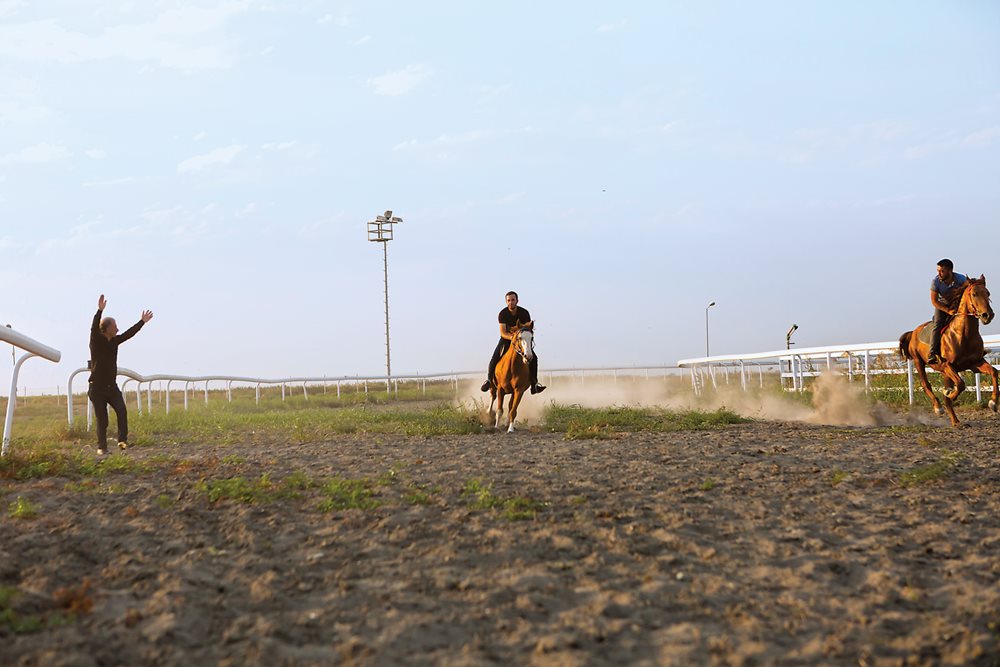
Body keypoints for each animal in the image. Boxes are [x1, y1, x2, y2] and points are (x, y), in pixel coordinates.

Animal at [904, 276, 996, 428]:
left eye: (988, 293)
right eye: (974, 294)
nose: (987, 315)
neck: (962, 335)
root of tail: (914, 332)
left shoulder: (975, 363)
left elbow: (994, 372)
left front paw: (993, 403)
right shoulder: (948, 365)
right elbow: (961, 384)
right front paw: (950, 395)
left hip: (944, 372)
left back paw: (956, 421)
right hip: (919, 361)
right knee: (926, 385)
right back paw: (938, 408)